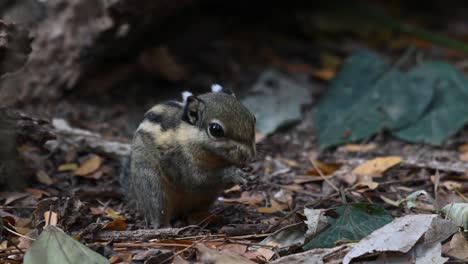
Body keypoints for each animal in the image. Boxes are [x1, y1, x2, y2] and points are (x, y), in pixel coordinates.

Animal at [119, 84, 256, 227]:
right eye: (215, 129)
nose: (250, 157)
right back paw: (166, 226)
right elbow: (196, 179)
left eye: (253, 118)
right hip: (154, 189)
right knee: (158, 215)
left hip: (206, 198)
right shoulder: (179, 161)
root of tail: (138, 201)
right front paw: (233, 173)